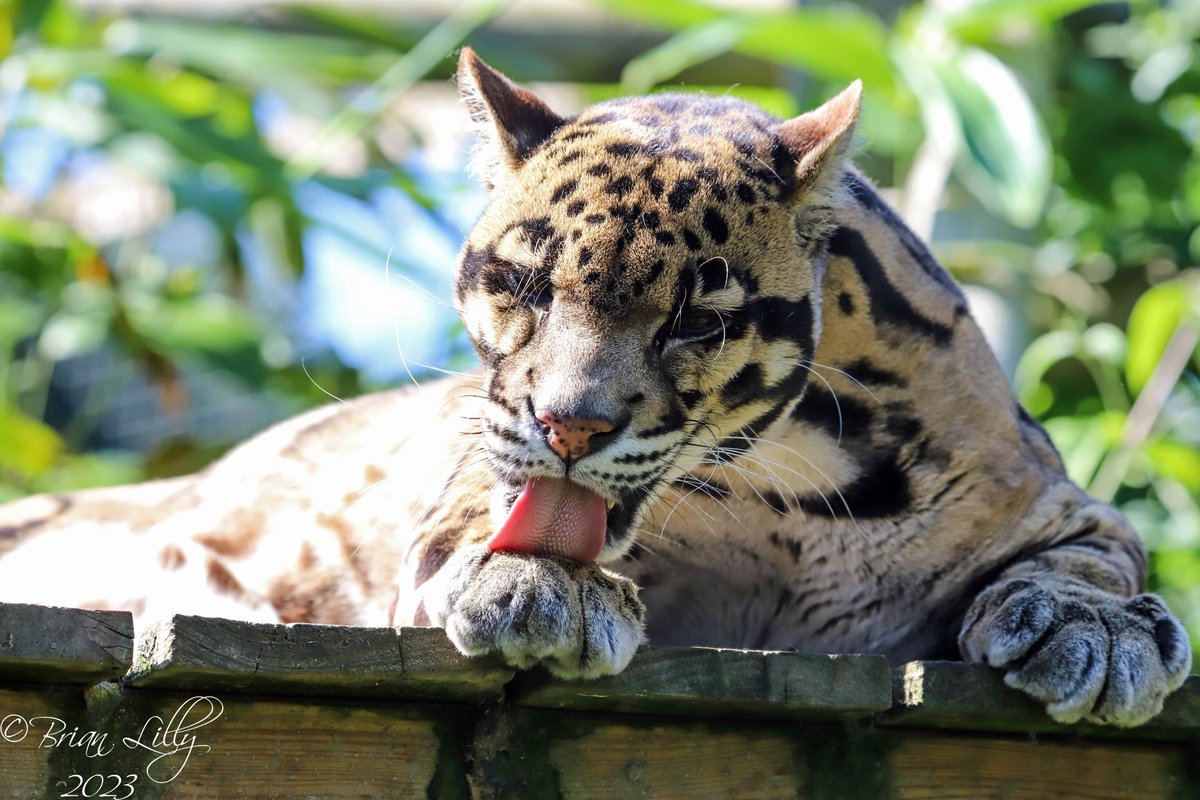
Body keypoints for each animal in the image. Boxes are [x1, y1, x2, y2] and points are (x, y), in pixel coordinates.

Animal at [0, 48, 1190, 727]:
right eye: (523, 282)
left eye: (697, 317)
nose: (567, 424)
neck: (794, 491)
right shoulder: (461, 495)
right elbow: (481, 535)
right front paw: (543, 586)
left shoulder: (1056, 495)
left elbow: (1095, 554)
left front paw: (1101, 631)